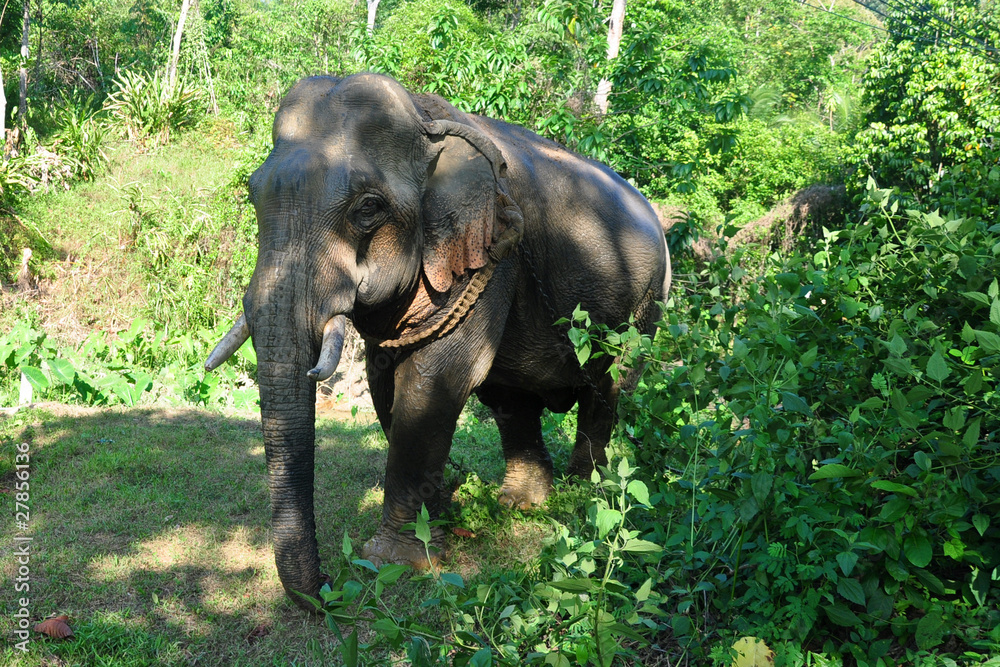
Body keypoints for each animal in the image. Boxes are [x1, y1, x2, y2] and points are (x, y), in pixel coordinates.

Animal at [205, 73, 670, 610]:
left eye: (368, 209)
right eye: (253, 194)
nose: (328, 587)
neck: (424, 120)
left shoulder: (494, 254)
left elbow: (435, 376)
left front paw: (394, 561)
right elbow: (386, 380)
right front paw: (439, 519)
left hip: (646, 304)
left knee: (608, 389)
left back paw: (583, 495)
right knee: (511, 400)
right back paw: (521, 504)